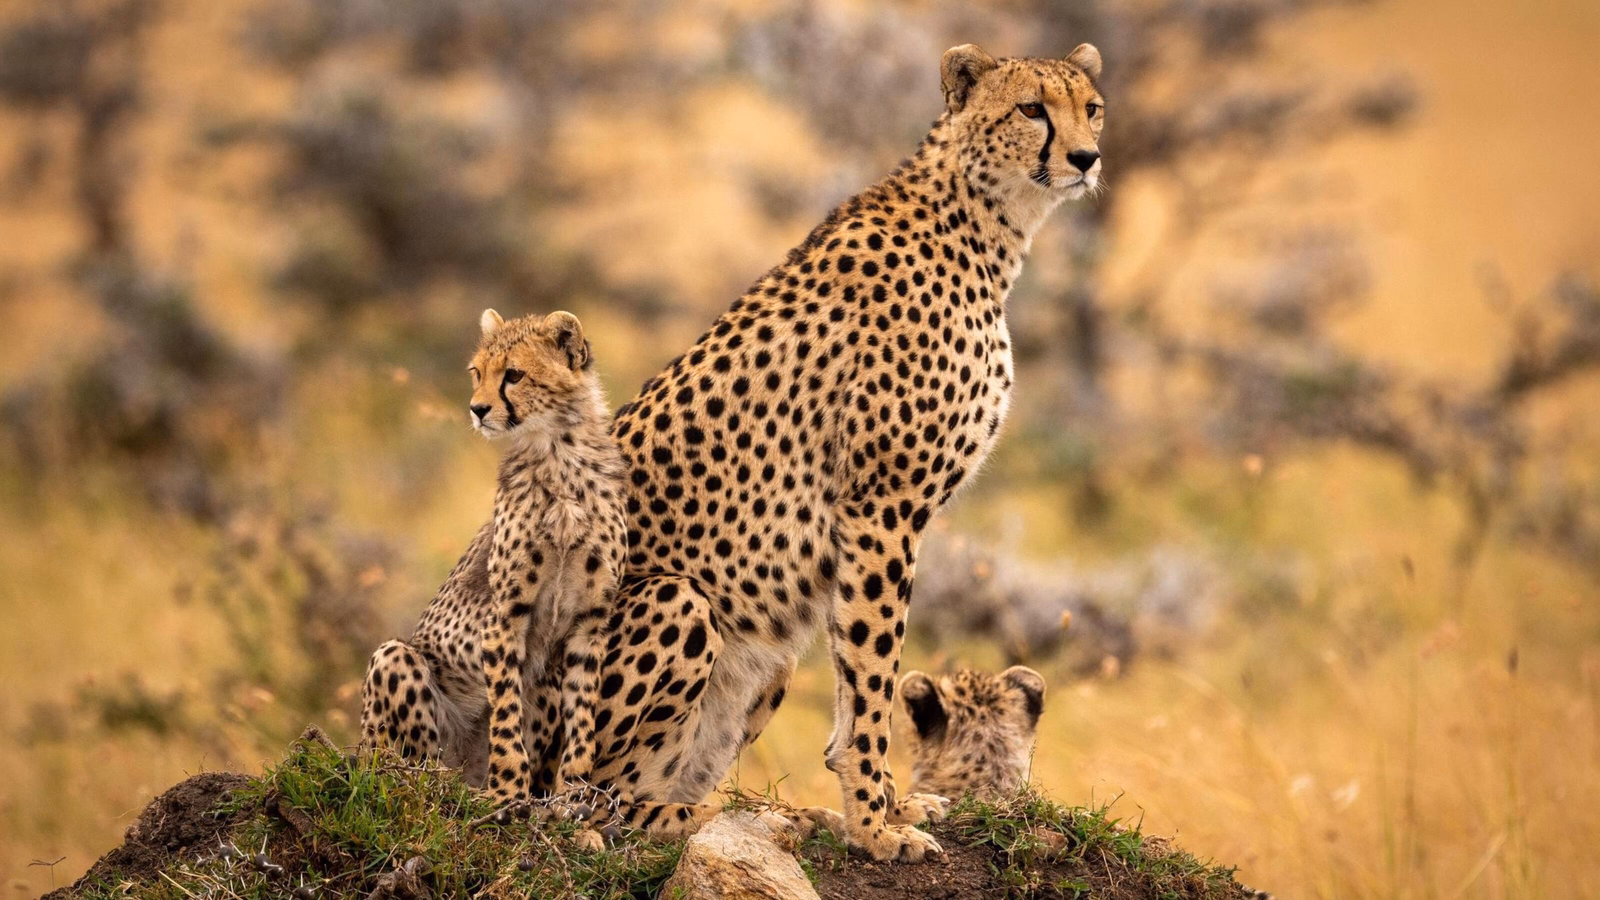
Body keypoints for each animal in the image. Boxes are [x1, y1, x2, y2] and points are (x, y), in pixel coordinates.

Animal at [360, 308, 628, 808]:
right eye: (477, 373)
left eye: (514, 375)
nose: (477, 409)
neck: (559, 453)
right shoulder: (505, 615)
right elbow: (505, 712)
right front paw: (507, 793)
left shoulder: (589, 622)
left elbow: (582, 714)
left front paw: (575, 796)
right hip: (395, 666)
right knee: (405, 768)